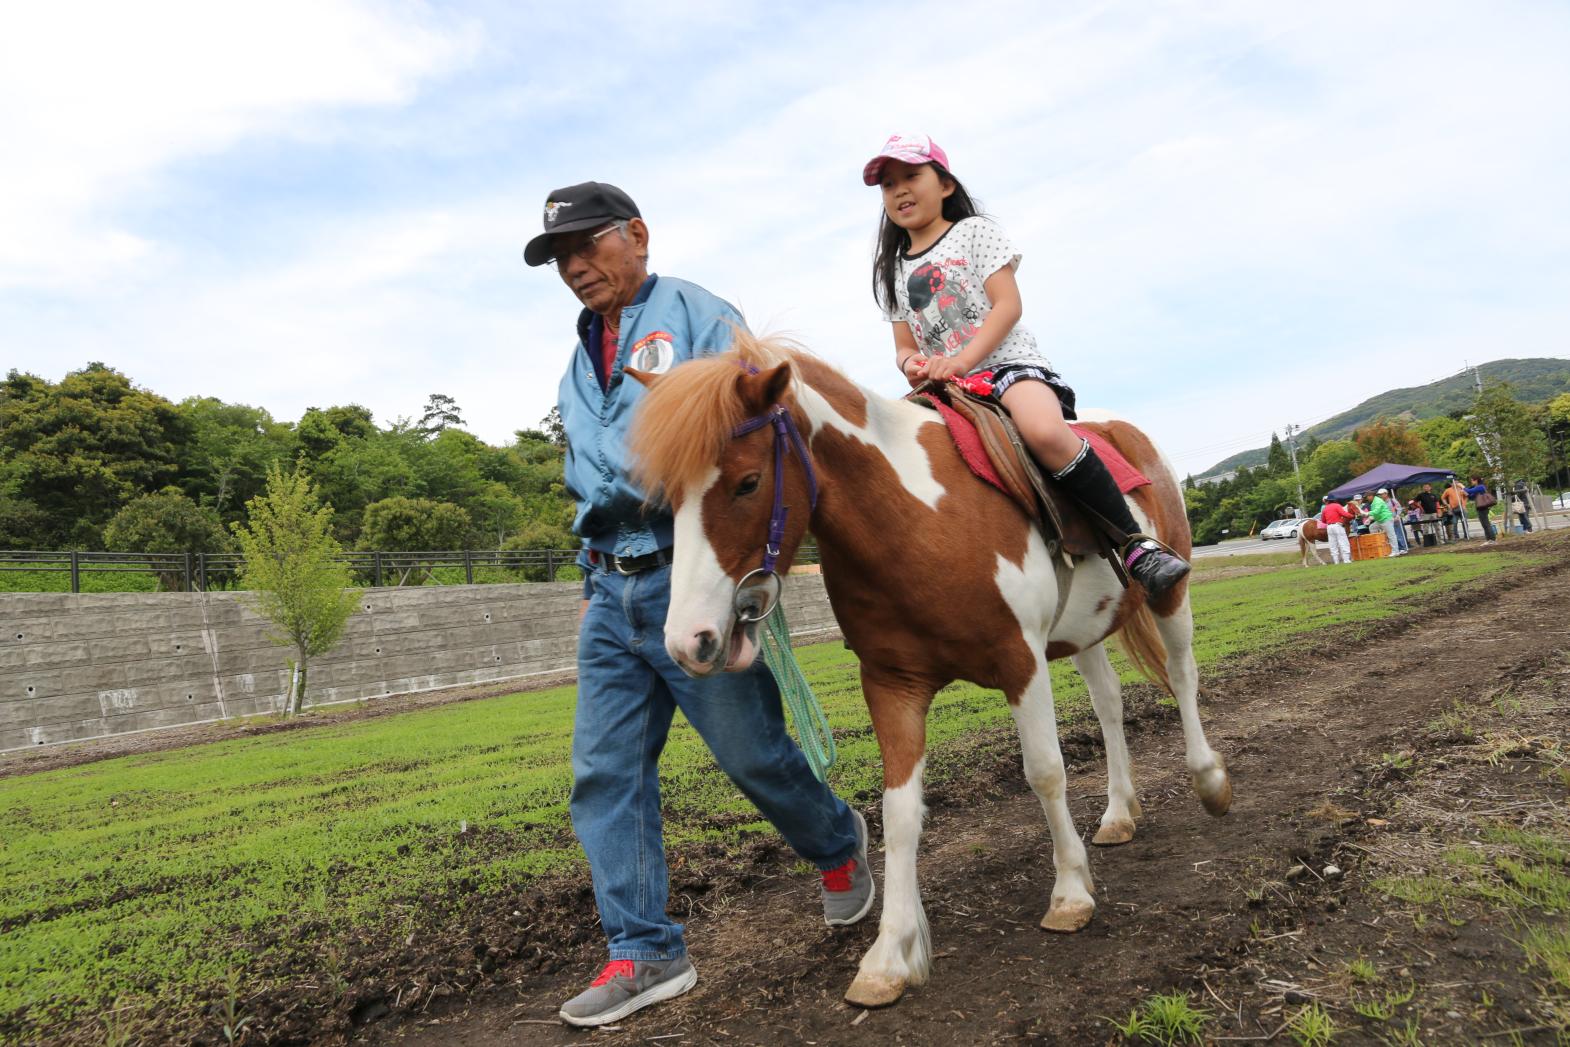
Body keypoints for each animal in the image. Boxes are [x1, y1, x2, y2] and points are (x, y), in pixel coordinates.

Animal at [621, 335, 1224, 1004]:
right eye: (666, 499)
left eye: (748, 483)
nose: (688, 641)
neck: (916, 518)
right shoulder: (892, 684)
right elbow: (900, 814)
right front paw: (889, 954)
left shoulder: (1020, 660)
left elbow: (1045, 772)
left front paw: (1070, 893)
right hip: (1082, 631)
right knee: (1110, 704)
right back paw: (1119, 813)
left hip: (1170, 595)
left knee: (1183, 676)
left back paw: (1208, 780)